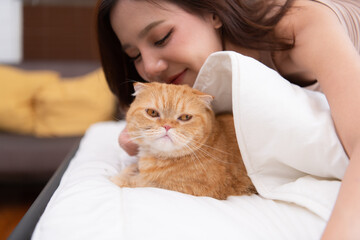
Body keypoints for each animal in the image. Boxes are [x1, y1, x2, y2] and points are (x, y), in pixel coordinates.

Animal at [112, 82, 256, 199]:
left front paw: (120, 179)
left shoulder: (187, 189)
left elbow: (137, 182)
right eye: (152, 112)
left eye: (185, 117)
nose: (167, 126)